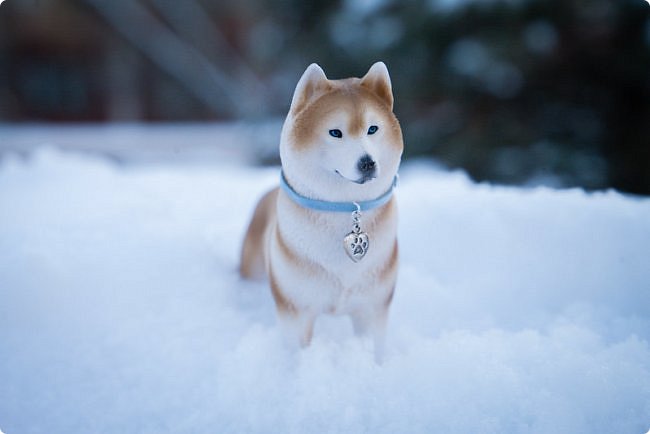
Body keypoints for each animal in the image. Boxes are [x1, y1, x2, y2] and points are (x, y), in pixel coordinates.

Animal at [238, 62, 400, 356]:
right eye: (335, 132)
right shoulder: (295, 308)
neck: (342, 208)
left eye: (373, 129)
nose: (367, 162)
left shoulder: (374, 306)